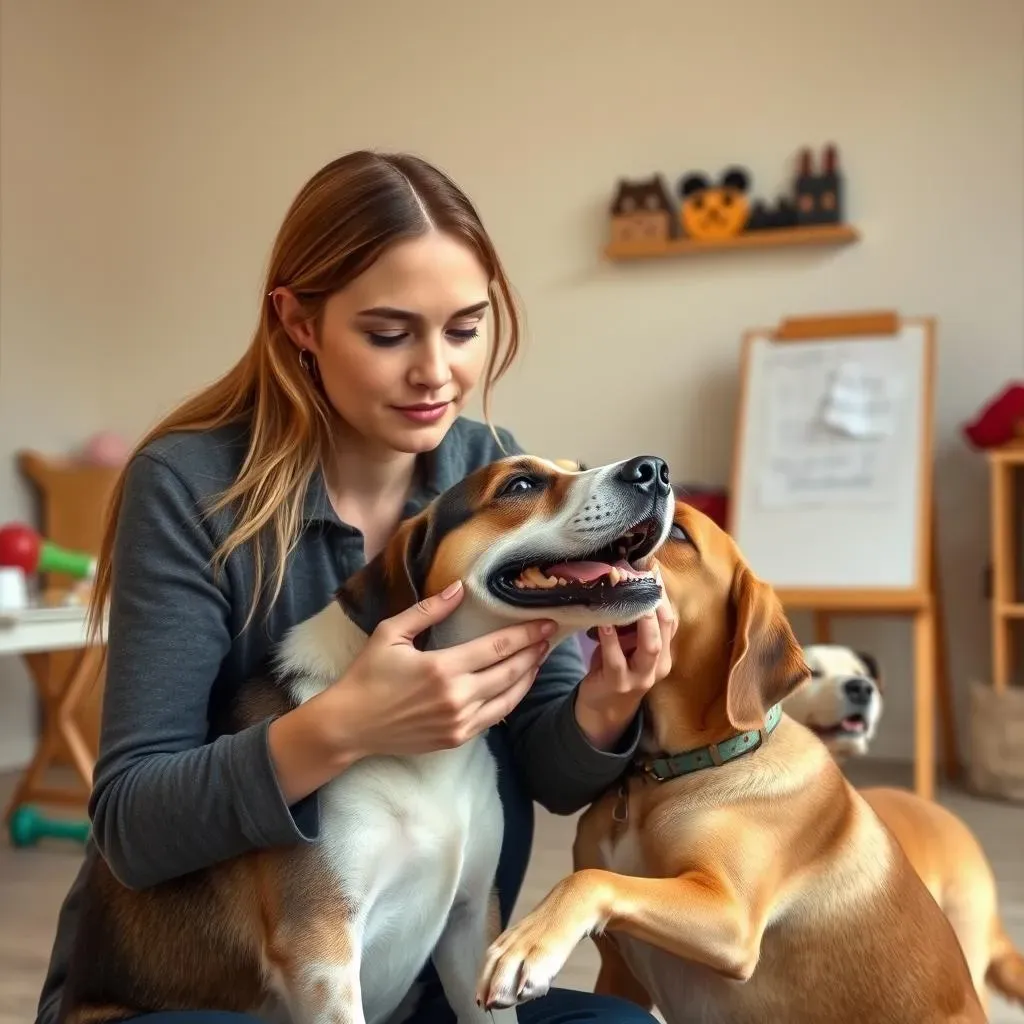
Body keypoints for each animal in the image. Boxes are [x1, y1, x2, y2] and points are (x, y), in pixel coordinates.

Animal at [475, 501, 987, 1024]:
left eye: (680, 534)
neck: (670, 771)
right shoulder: (620, 972)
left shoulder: (730, 916)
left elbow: (589, 879)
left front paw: (528, 943)